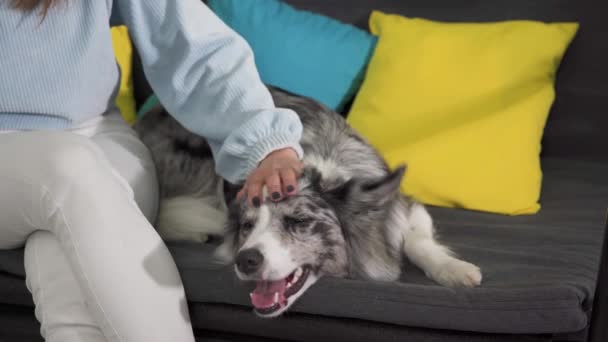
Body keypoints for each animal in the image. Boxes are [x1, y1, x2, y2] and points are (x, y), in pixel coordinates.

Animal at [135, 86, 482, 318]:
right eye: (247, 226)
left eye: (299, 222)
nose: (245, 260)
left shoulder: (405, 208)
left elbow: (418, 242)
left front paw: (454, 269)